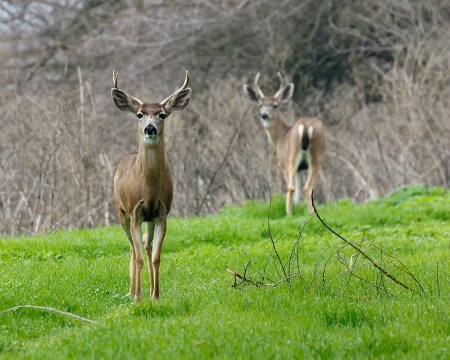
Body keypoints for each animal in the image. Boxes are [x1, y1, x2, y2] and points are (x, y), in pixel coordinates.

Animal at [112, 69, 192, 300]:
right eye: (140, 114)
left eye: (162, 115)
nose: (150, 128)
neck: (148, 190)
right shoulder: (135, 211)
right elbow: (138, 256)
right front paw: (137, 298)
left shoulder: (161, 213)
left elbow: (156, 256)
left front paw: (155, 296)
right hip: (121, 212)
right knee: (132, 248)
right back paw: (131, 292)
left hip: (147, 218)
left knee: (146, 246)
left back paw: (148, 291)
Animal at [244, 71, 326, 215]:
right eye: (260, 105)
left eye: (275, 105)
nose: (264, 115)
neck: (280, 138)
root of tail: (306, 126)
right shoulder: (301, 168)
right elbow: (298, 195)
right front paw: (299, 211)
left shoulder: (283, 162)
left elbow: (293, 189)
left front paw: (293, 213)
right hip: (317, 154)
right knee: (307, 187)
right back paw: (310, 213)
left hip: (292, 157)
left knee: (293, 187)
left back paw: (290, 214)